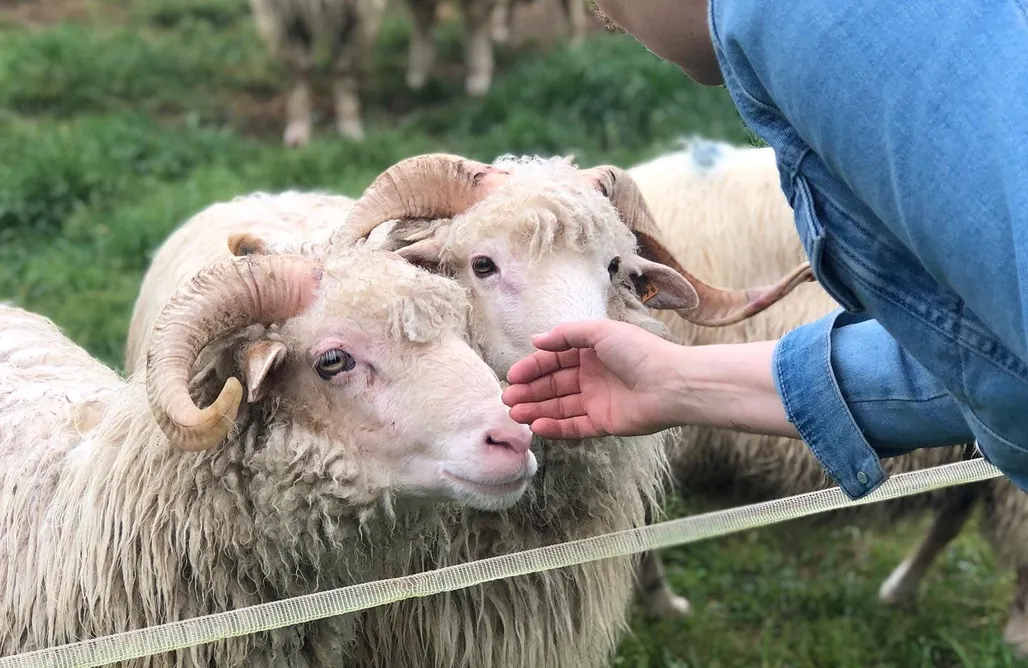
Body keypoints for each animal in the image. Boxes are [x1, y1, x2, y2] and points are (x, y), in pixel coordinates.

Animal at [249, 0, 388, 145]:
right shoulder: (291, 12)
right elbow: (300, 68)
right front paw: (298, 128)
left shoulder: (355, 11)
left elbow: (344, 68)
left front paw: (350, 128)